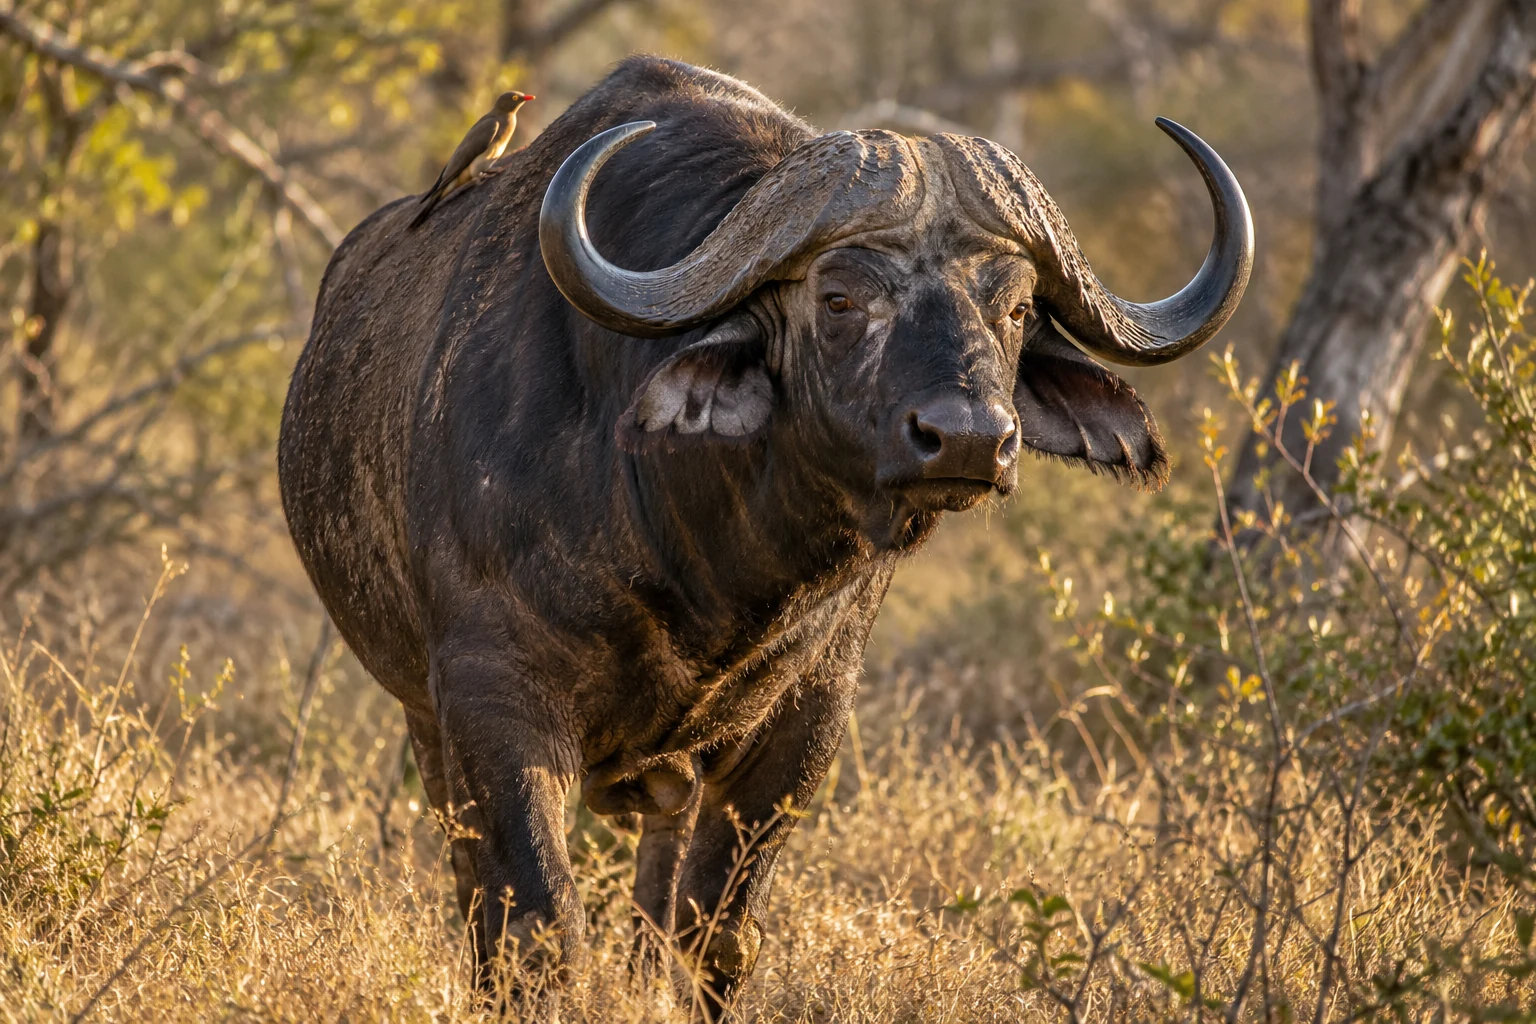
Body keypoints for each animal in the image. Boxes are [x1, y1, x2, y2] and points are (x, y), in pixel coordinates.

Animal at [278, 55, 1251, 1014]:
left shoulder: (803, 723)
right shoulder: (491, 700)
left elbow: (715, 935)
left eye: (1013, 309)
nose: (970, 438)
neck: (700, 552)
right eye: (841, 297)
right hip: (425, 721)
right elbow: (536, 928)